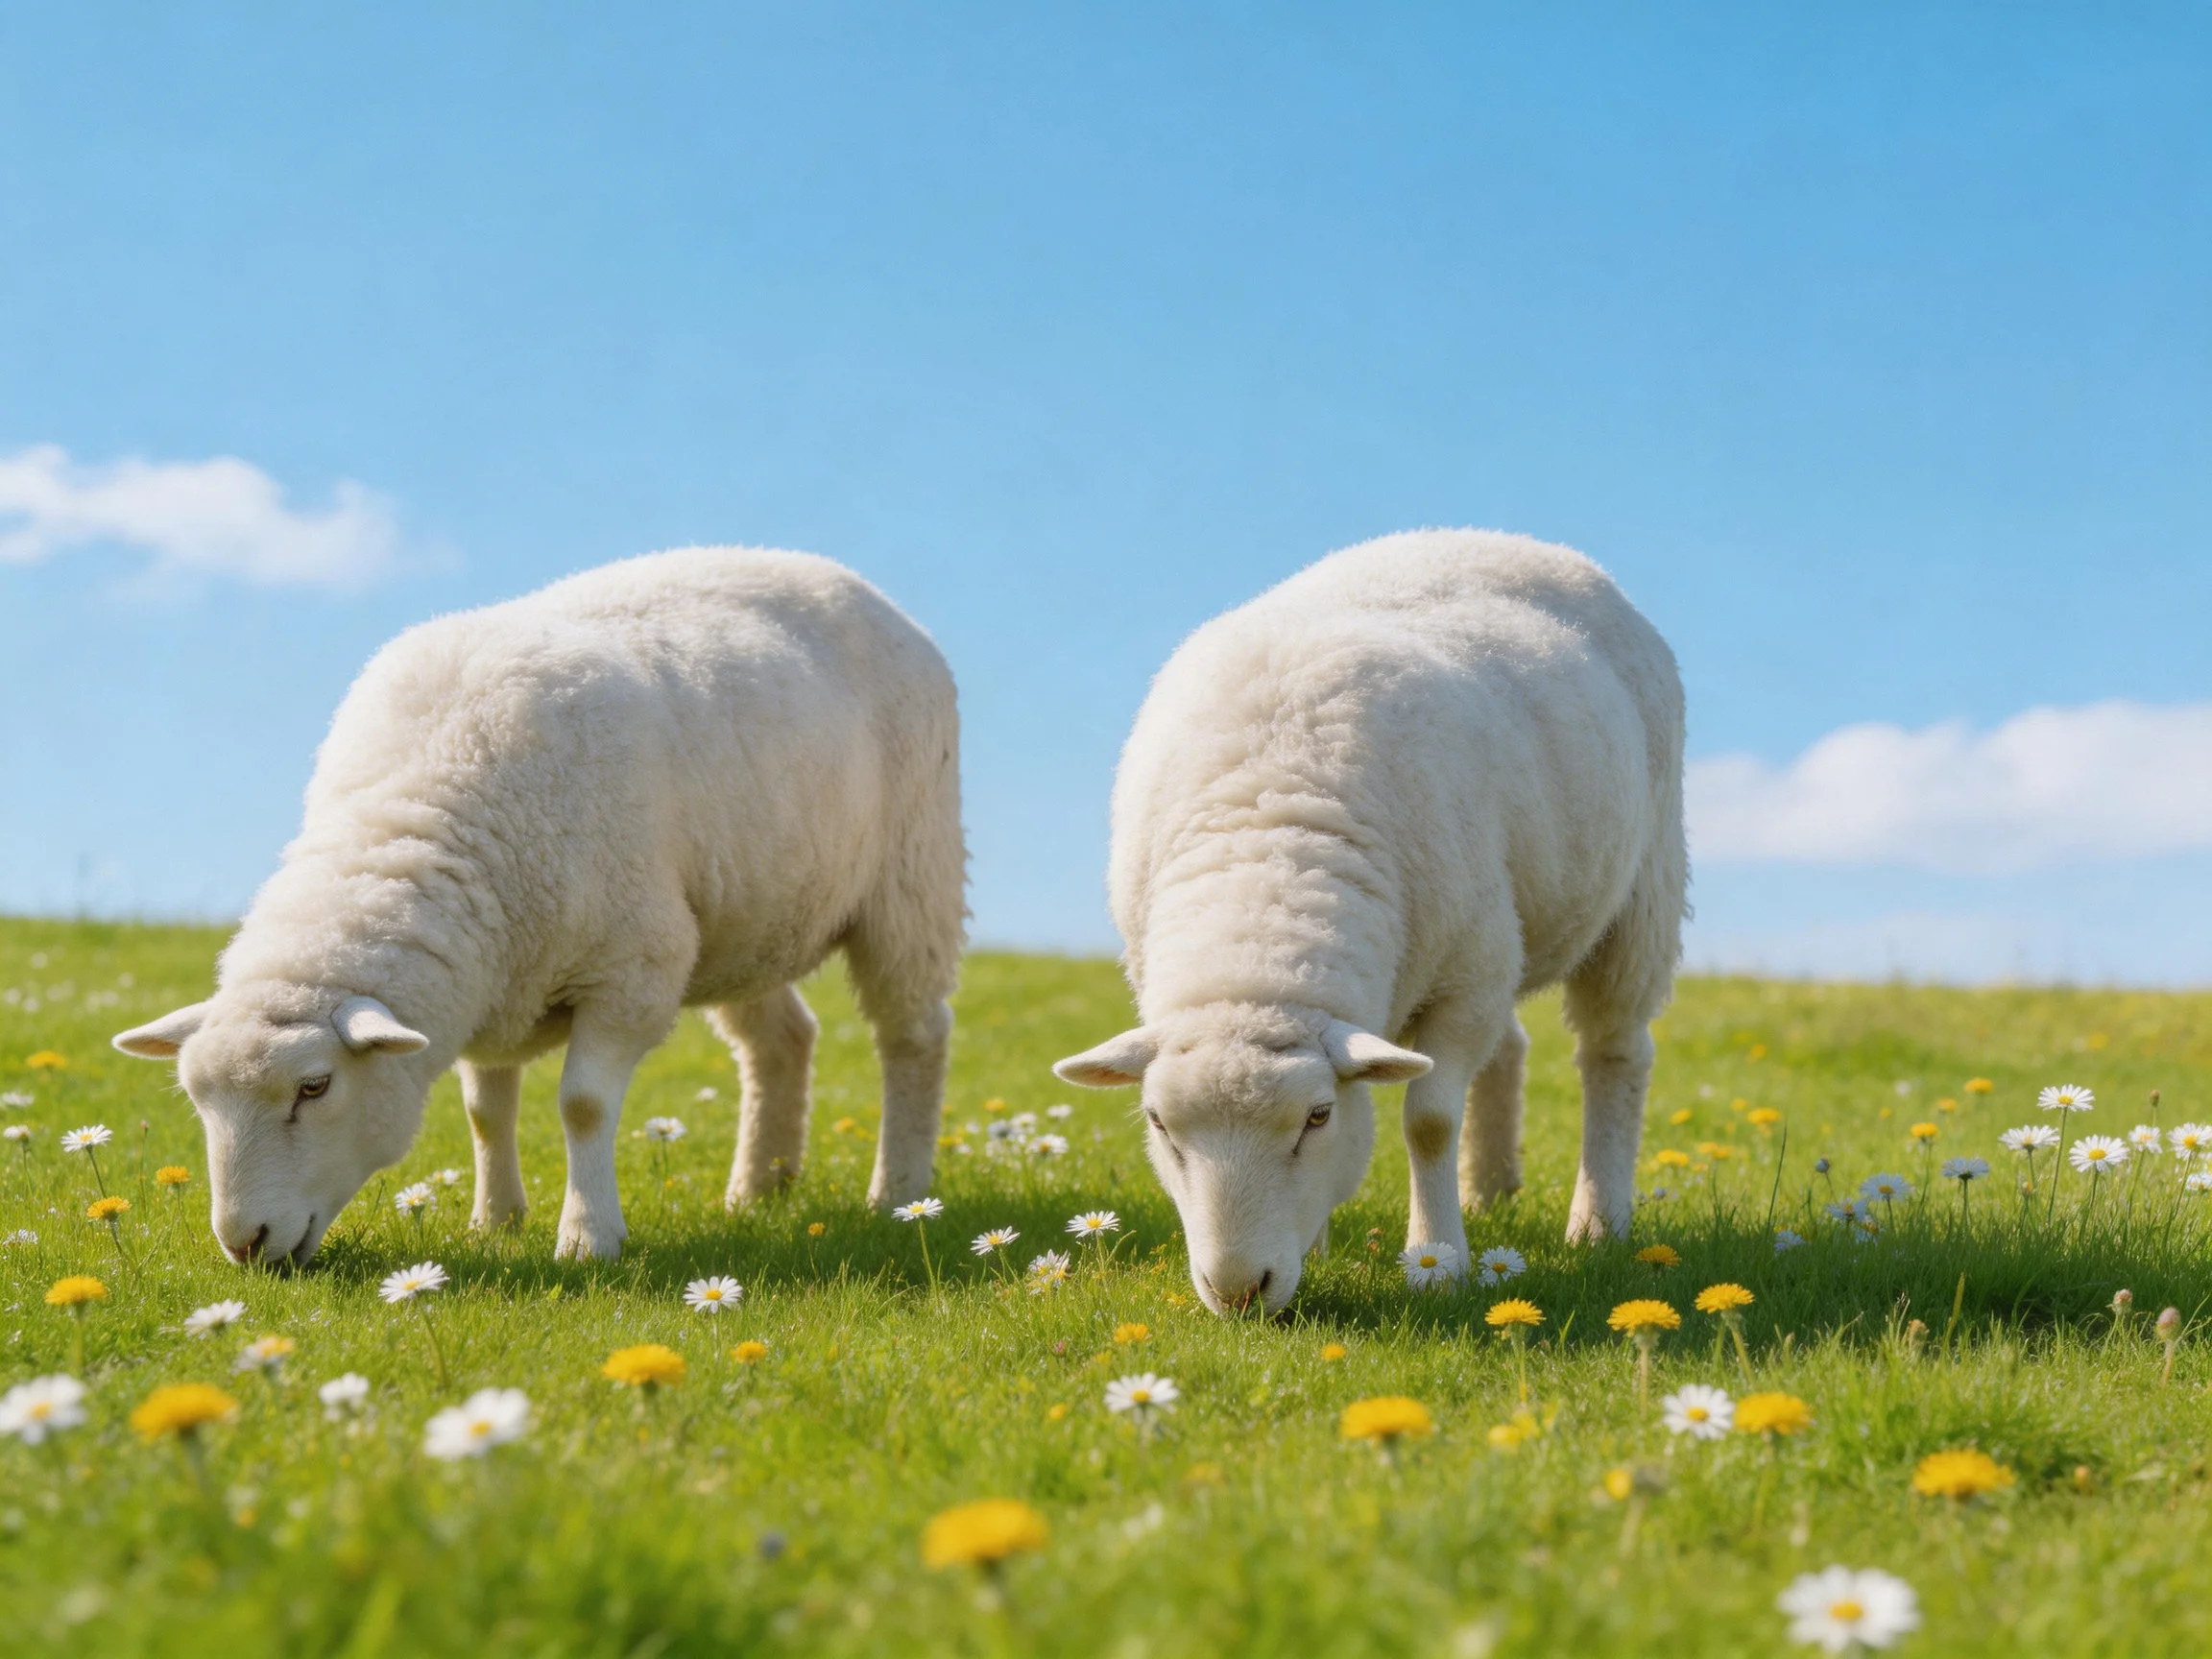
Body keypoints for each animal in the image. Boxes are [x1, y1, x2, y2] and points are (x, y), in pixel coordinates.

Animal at [113, 546, 966, 1265]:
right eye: (197, 1098)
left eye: (314, 1088)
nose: (244, 1244)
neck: (419, 808)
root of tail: (847, 579)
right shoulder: (490, 974)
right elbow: (485, 1110)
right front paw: (495, 1220)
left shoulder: (632, 966)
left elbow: (583, 1105)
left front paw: (588, 1238)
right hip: (742, 916)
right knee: (782, 1040)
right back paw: (761, 1189)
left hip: (912, 873)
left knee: (913, 1034)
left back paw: (898, 1191)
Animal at [1055, 529, 1685, 1316]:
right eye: (1158, 1123)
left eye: (1318, 1116)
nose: (1239, 1292)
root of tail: (1510, 537)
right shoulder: (1472, 963)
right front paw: (1323, 1245)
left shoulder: (1463, 981)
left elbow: (1430, 1121)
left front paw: (1437, 1262)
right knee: (1509, 1047)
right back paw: (1489, 1191)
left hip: (1642, 889)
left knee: (1615, 1053)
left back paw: (1598, 1223)